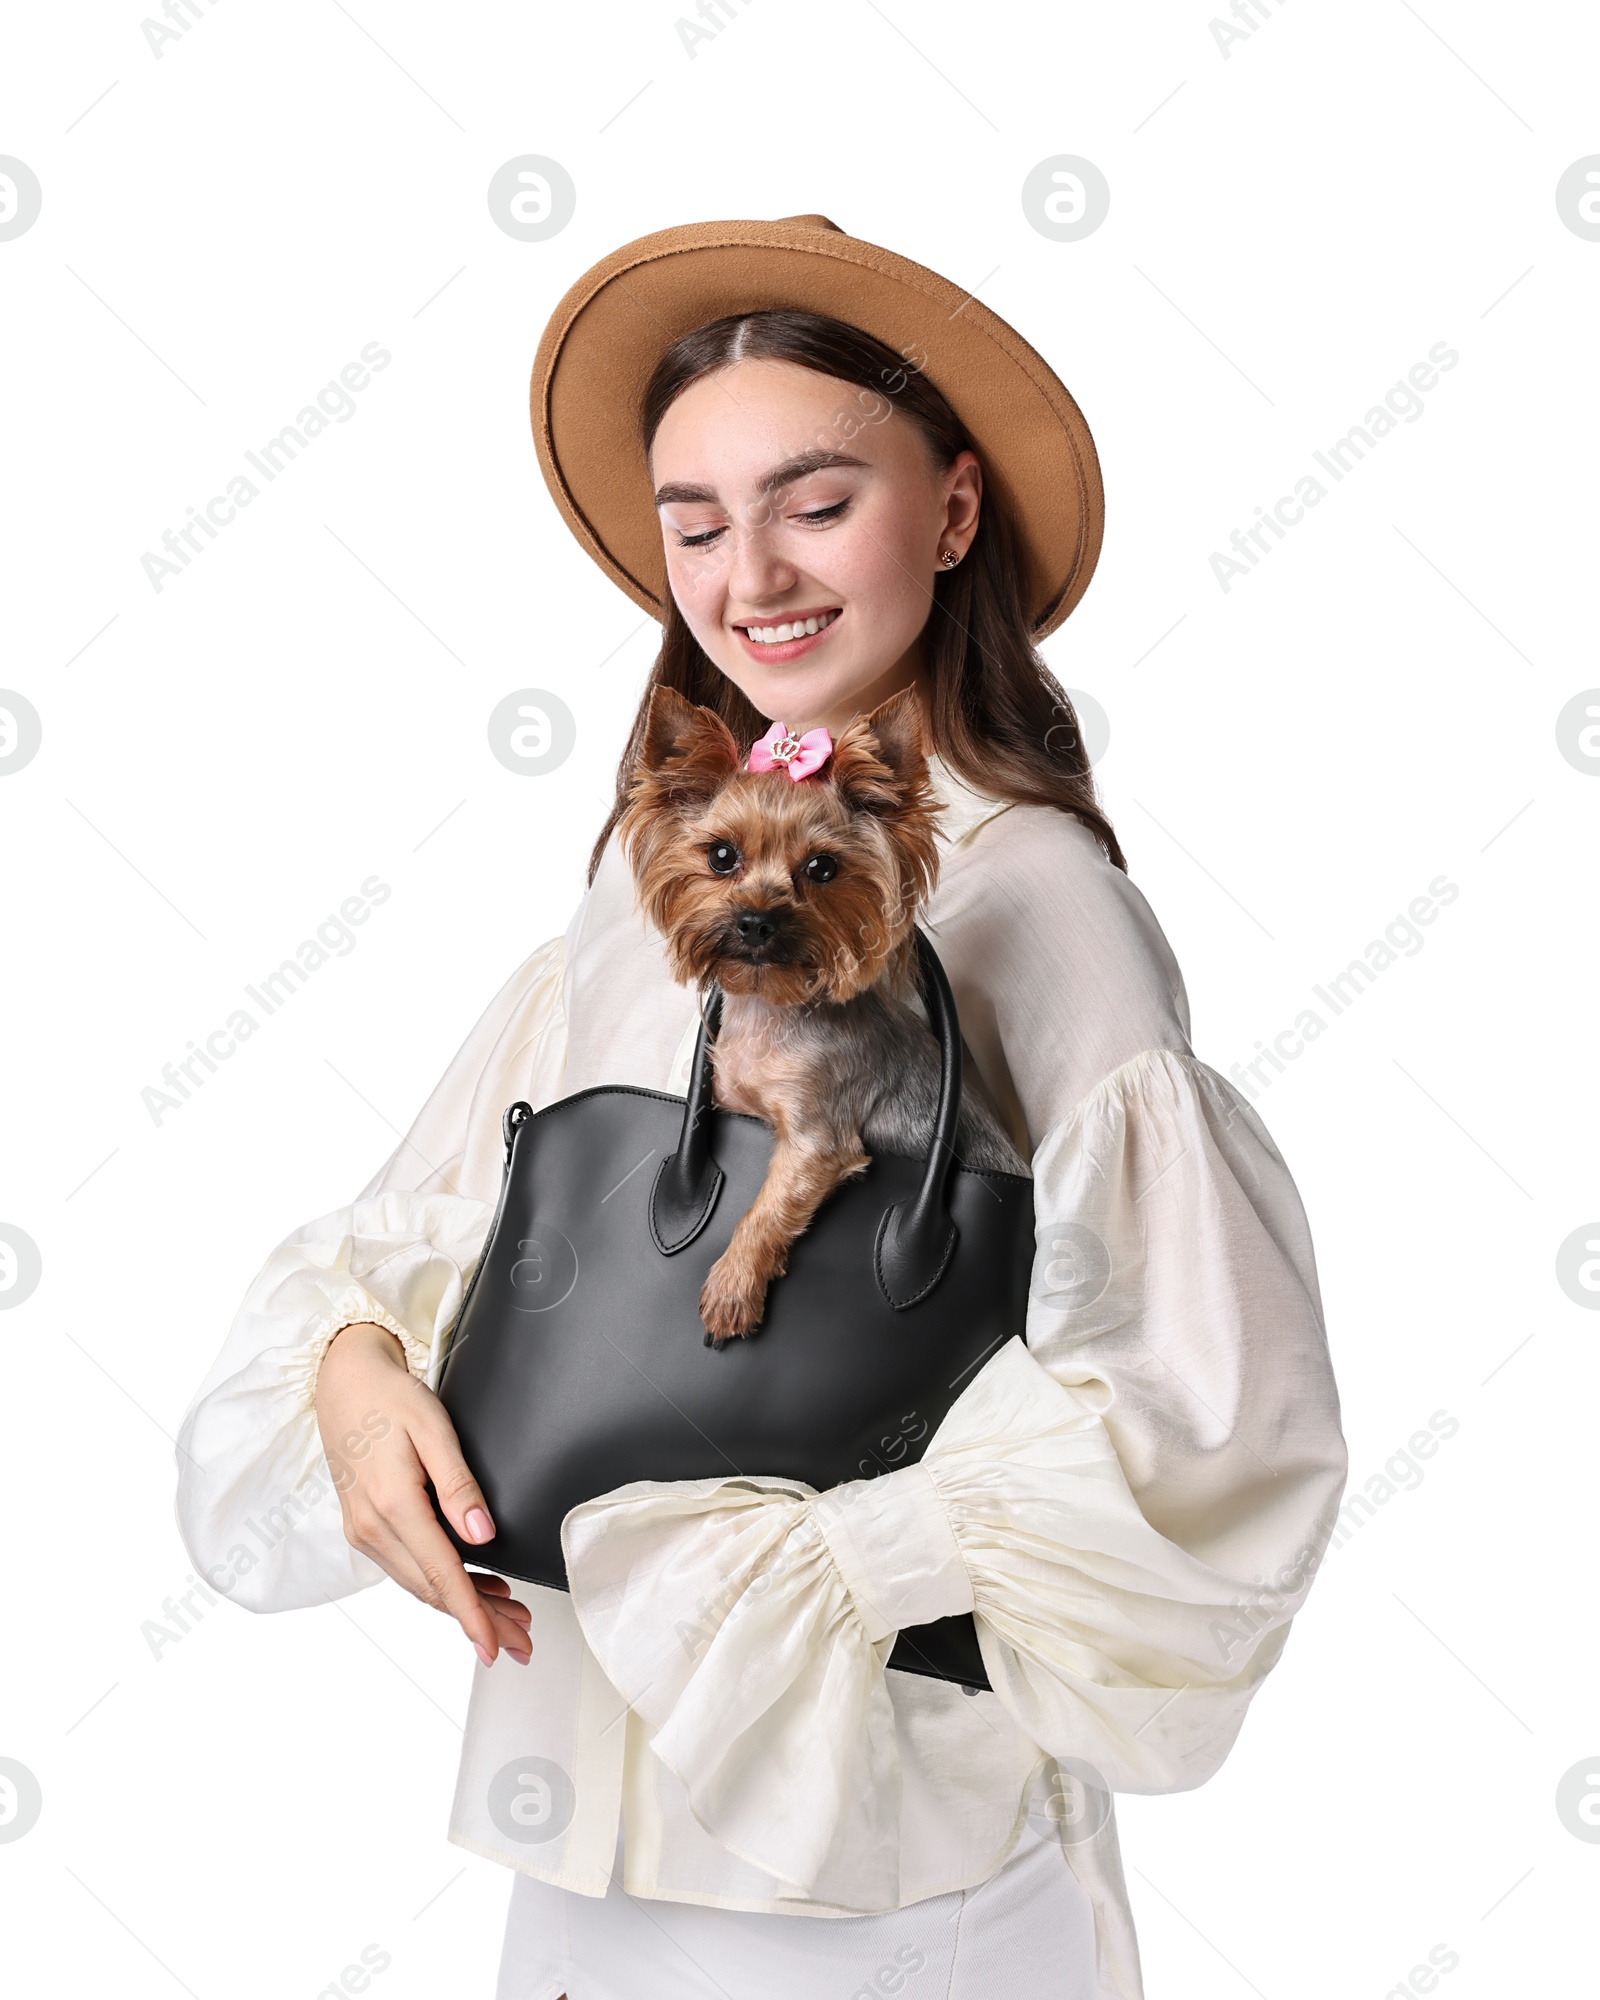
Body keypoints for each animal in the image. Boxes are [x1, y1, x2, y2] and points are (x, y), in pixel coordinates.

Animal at [612, 684, 1024, 1344]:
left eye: (823, 868)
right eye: (721, 856)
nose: (756, 920)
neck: (772, 1010)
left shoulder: (818, 1136)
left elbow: (768, 1207)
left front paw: (733, 1285)